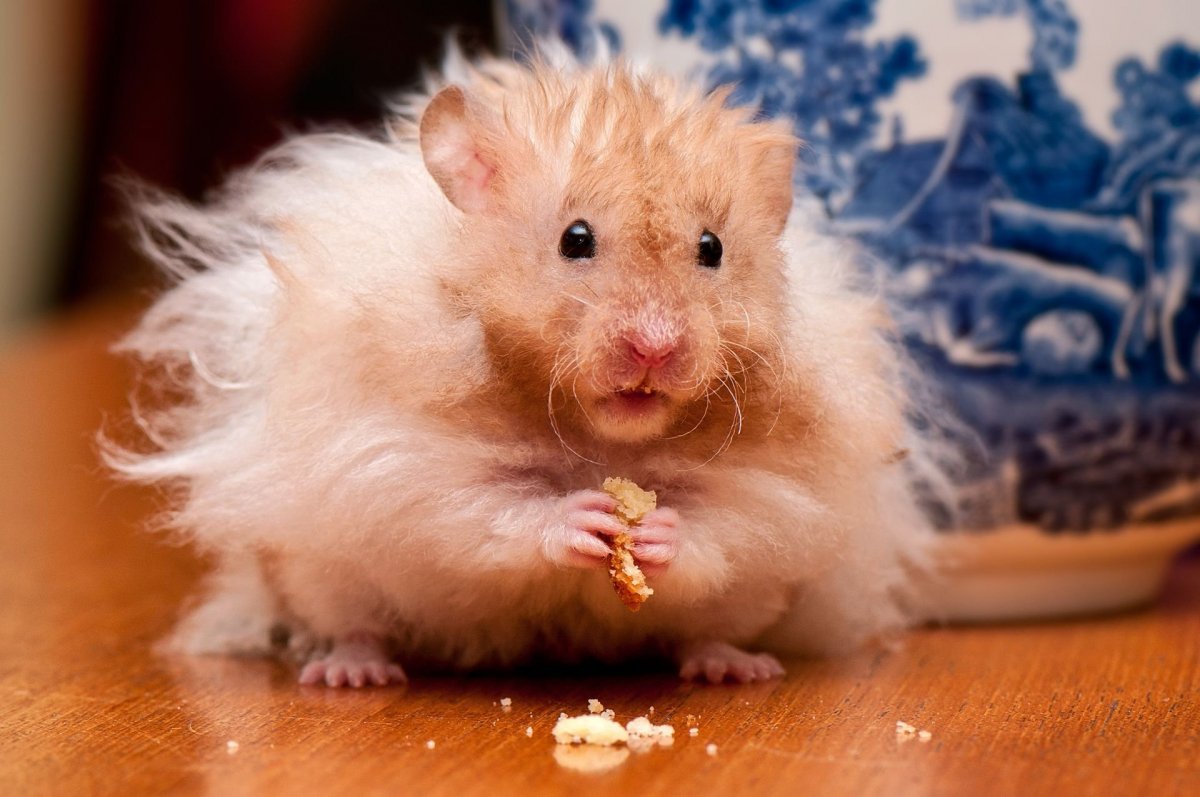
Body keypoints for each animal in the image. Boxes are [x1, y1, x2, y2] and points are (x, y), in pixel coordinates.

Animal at [105, 41, 937, 687]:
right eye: (575, 239)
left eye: (712, 248)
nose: (656, 347)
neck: (600, 437)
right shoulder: (399, 463)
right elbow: (486, 509)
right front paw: (583, 517)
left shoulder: (781, 495)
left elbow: (721, 524)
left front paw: (656, 533)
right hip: (319, 569)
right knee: (353, 621)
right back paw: (351, 671)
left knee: (707, 628)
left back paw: (737, 665)